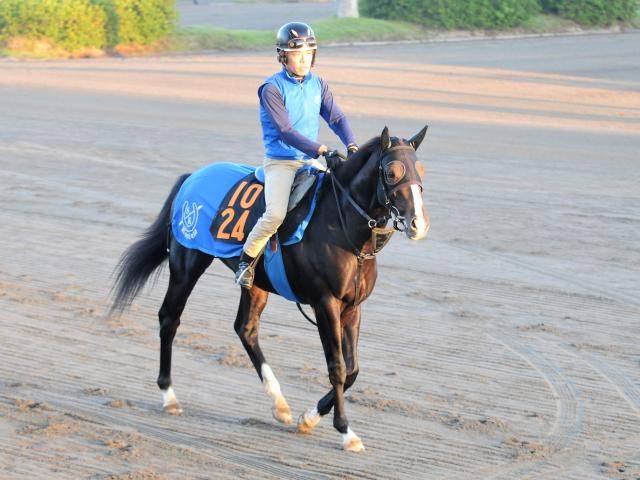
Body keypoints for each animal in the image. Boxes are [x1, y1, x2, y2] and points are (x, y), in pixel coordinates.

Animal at [110, 125, 430, 452]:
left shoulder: (353, 307)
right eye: (391, 171)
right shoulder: (325, 303)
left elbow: (352, 370)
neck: (342, 229)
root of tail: (191, 176)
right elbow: (337, 367)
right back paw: (169, 396)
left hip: (256, 283)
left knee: (245, 328)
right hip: (187, 264)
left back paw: (280, 404)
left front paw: (309, 418)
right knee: (169, 318)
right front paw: (345, 431)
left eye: (421, 170)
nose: (418, 224)